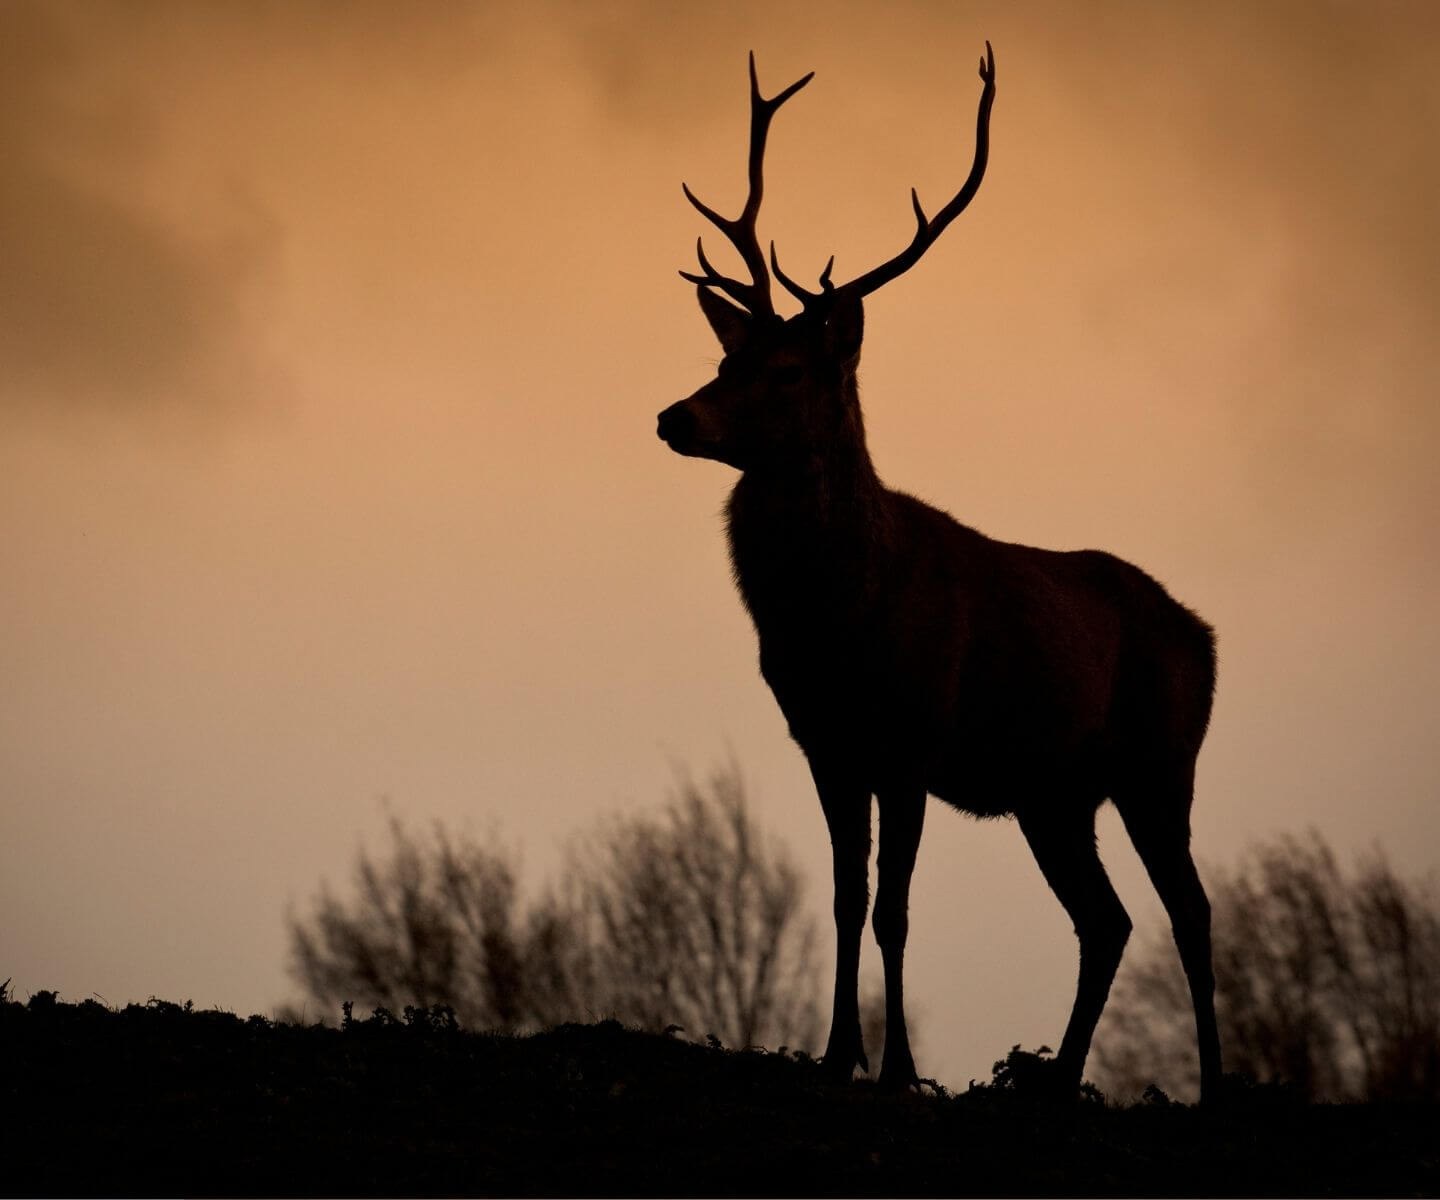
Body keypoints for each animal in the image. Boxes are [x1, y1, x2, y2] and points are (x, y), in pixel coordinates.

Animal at [656, 43, 1222, 1102]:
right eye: (724, 357)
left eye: (788, 372)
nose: (675, 415)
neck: (838, 621)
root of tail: (1205, 636)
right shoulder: (826, 743)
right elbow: (846, 899)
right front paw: (838, 1056)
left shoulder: (914, 737)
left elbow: (895, 910)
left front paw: (897, 1072)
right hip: (1054, 795)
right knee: (1108, 920)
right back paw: (1054, 1078)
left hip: (1161, 762)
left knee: (1191, 913)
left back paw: (1211, 1085)